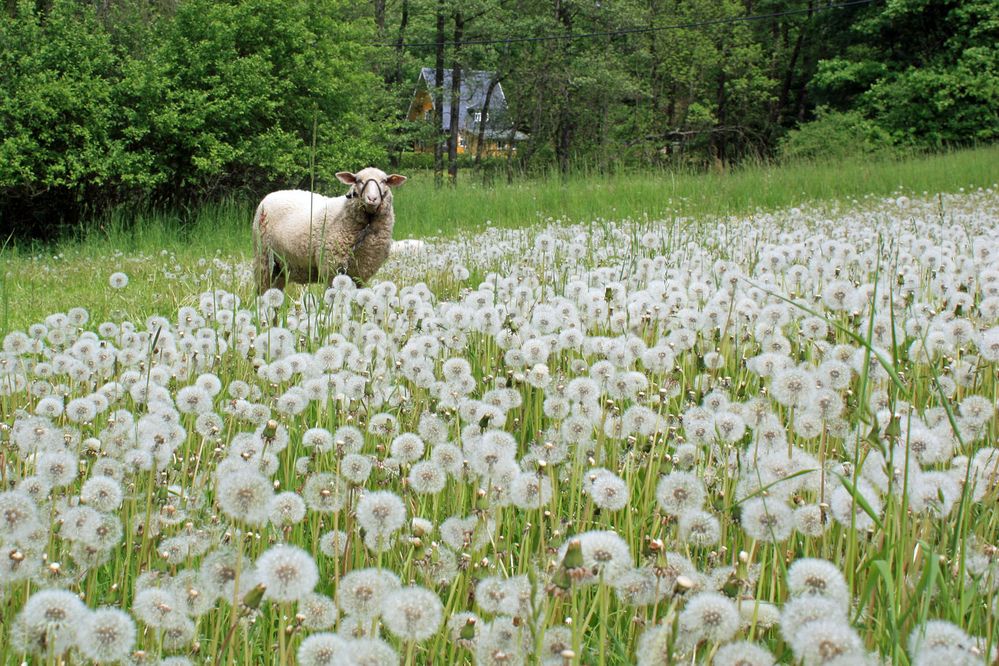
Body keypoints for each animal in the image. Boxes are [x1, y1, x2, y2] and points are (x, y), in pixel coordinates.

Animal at [254, 166, 406, 290]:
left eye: (384, 181)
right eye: (358, 180)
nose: (372, 198)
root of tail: (271, 195)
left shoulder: (360, 275)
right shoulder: (331, 271)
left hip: (280, 268)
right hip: (264, 260)